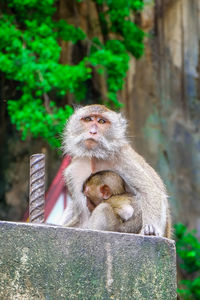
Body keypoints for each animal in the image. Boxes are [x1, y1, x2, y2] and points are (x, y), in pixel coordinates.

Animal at [60, 104, 170, 238]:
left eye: (101, 121)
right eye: (88, 119)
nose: (93, 131)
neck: (96, 156)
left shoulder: (122, 157)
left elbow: (149, 191)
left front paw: (151, 229)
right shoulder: (74, 171)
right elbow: (83, 217)